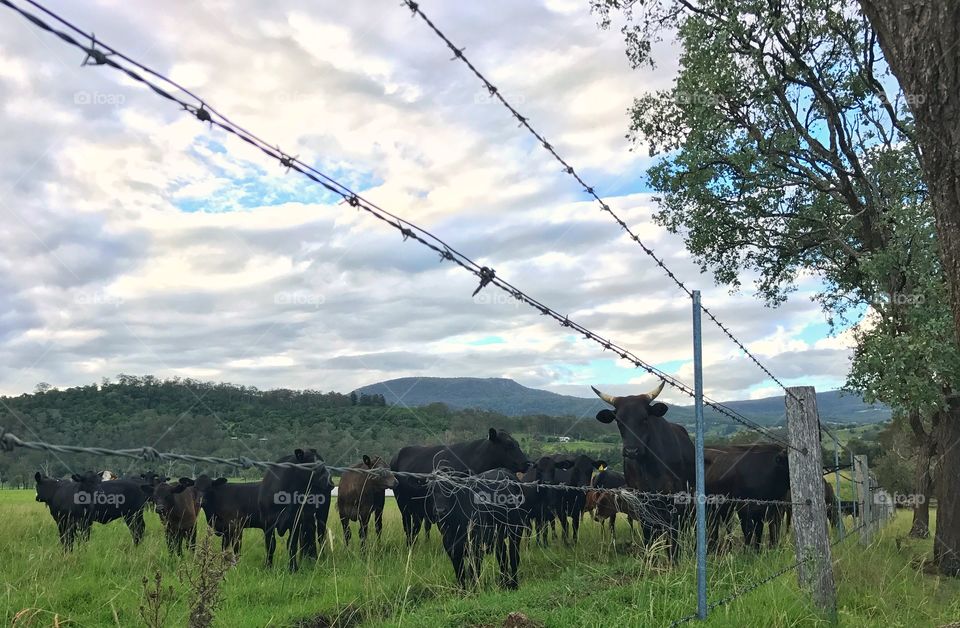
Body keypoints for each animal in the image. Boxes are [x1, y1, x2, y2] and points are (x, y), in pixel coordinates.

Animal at [592, 381, 695, 558]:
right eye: (619, 421)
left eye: (645, 418)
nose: (631, 451)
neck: (649, 468)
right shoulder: (641, 500)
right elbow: (648, 532)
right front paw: (651, 557)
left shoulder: (675, 498)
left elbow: (674, 533)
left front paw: (674, 558)